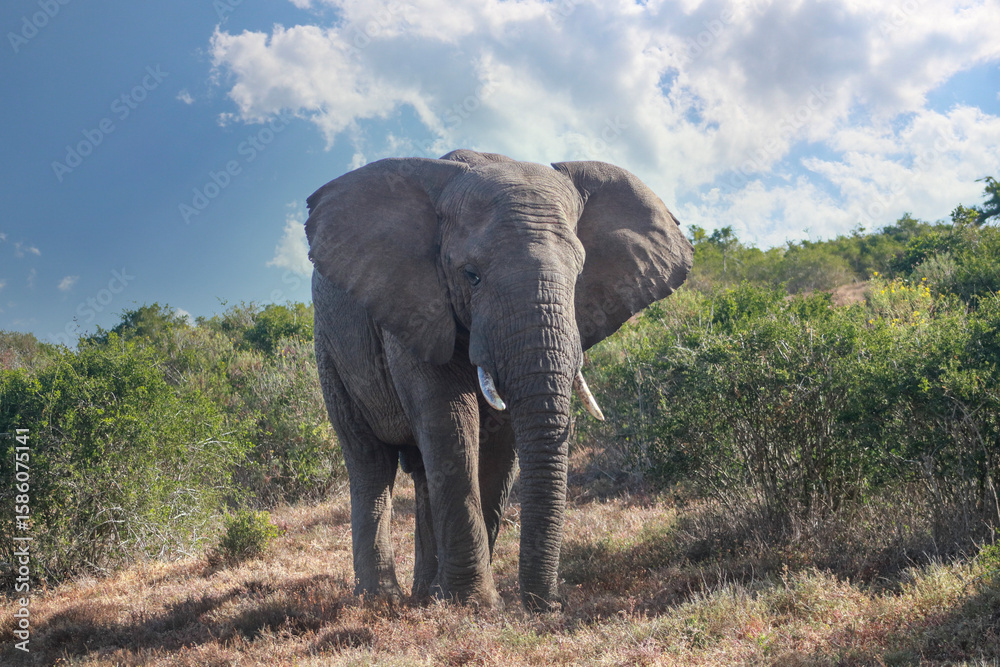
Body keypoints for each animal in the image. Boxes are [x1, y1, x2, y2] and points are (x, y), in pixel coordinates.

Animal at [305, 149, 692, 611]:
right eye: (471, 275)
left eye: (580, 275)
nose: (549, 605)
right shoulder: (413, 306)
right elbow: (451, 423)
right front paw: (473, 604)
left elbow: (500, 441)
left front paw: (463, 600)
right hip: (330, 350)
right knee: (370, 463)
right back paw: (381, 601)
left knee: (421, 471)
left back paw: (425, 594)